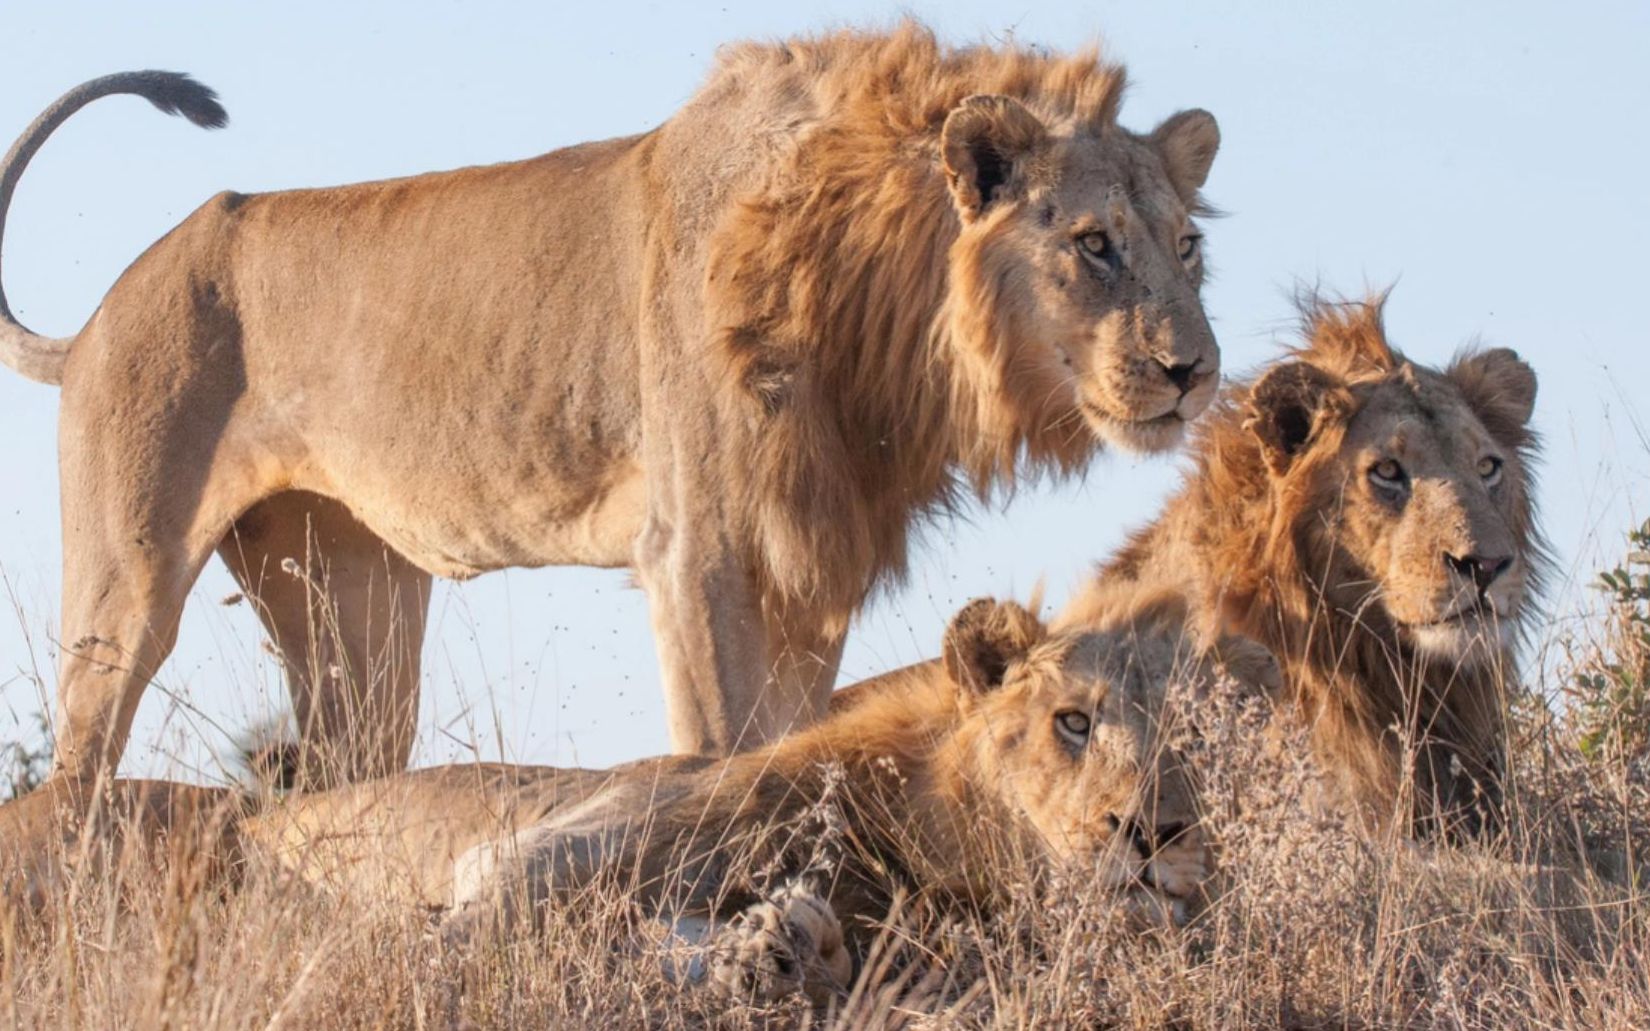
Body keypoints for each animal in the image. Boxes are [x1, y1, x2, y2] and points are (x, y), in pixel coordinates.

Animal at [0, 24, 1227, 788]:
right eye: (1094, 244)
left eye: (1186, 247)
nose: (1197, 372)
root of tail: (106, 305)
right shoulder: (699, 549)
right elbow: (723, 745)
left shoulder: (811, 562)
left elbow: (792, 738)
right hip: (128, 574)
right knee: (80, 765)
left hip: (351, 593)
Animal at [3, 600, 1273, 1002]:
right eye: (1073, 719)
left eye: (1209, 739)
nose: (1156, 834)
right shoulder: (548, 846)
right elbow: (476, 928)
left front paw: (769, 946)